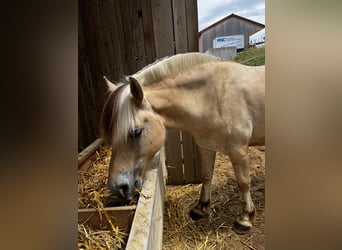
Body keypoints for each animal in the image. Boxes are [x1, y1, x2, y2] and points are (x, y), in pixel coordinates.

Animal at [99, 52, 264, 234]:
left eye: (136, 132)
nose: (117, 187)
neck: (212, 97)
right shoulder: (206, 147)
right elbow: (207, 175)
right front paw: (200, 208)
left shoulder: (238, 149)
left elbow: (244, 182)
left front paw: (245, 218)